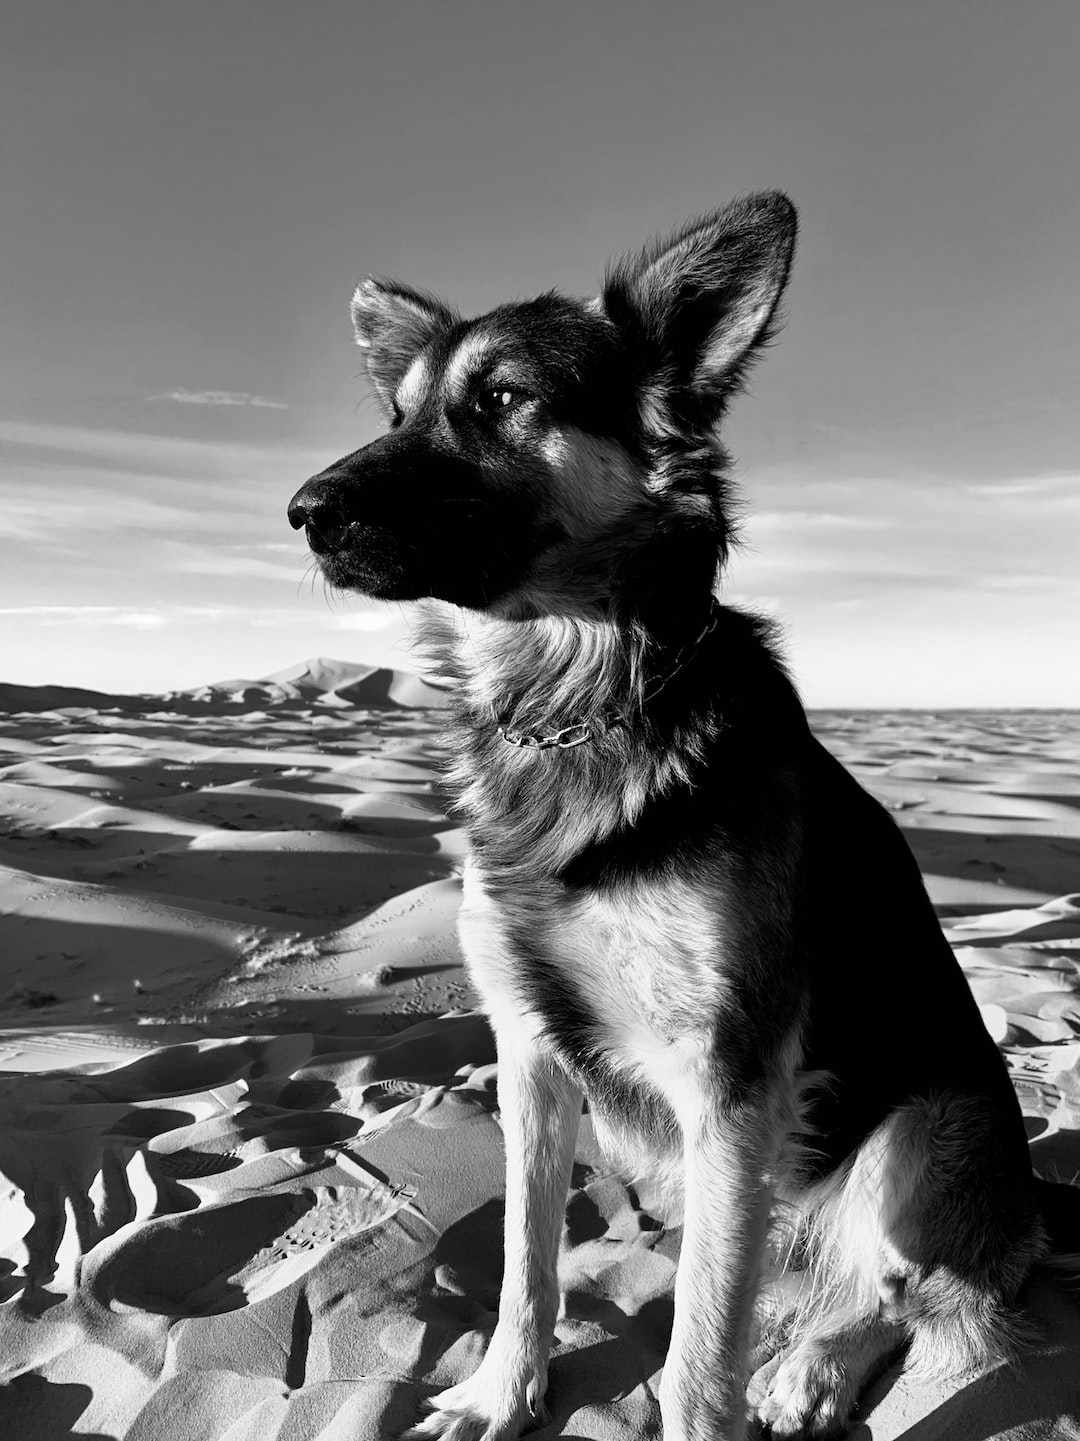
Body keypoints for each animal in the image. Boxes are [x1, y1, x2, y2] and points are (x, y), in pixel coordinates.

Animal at [288, 194, 1061, 1441]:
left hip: (920, 1133)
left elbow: (701, 1348)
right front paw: (502, 1393)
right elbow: (526, 1259)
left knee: (919, 1293)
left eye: (501, 398)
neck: (580, 706)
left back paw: (815, 1367)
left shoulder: (734, 1080)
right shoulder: (530, 1053)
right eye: (398, 412)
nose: (304, 512)